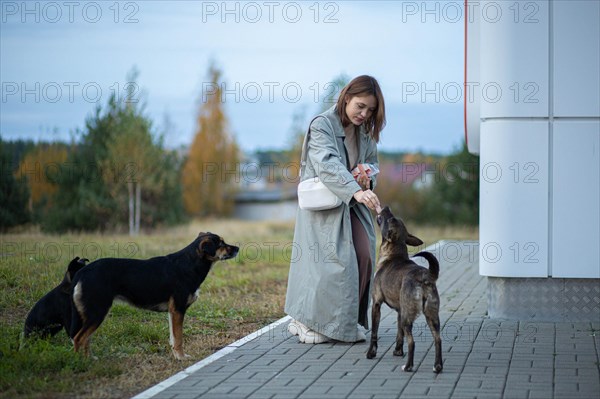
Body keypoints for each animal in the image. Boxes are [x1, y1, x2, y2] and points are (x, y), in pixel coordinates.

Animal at [69, 233, 238, 360]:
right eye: (221, 244)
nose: (238, 248)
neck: (190, 264)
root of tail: (82, 272)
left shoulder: (172, 312)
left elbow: (173, 337)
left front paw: (176, 355)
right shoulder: (178, 309)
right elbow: (179, 338)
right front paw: (181, 357)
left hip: (92, 314)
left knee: (85, 339)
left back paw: (90, 359)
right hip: (97, 312)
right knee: (78, 339)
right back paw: (80, 364)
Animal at [364, 208, 442, 374]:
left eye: (389, 219)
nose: (386, 207)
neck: (394, 254)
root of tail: (424, 276)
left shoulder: (376, 304)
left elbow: (374, 332)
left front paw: (371, 353)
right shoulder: (400, 311)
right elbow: (399, 334)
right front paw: (398, 351)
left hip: (409, 317)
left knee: (412, 342)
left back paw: (408, 366)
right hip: (431, 315)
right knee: (438, 339)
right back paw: (437, 366)